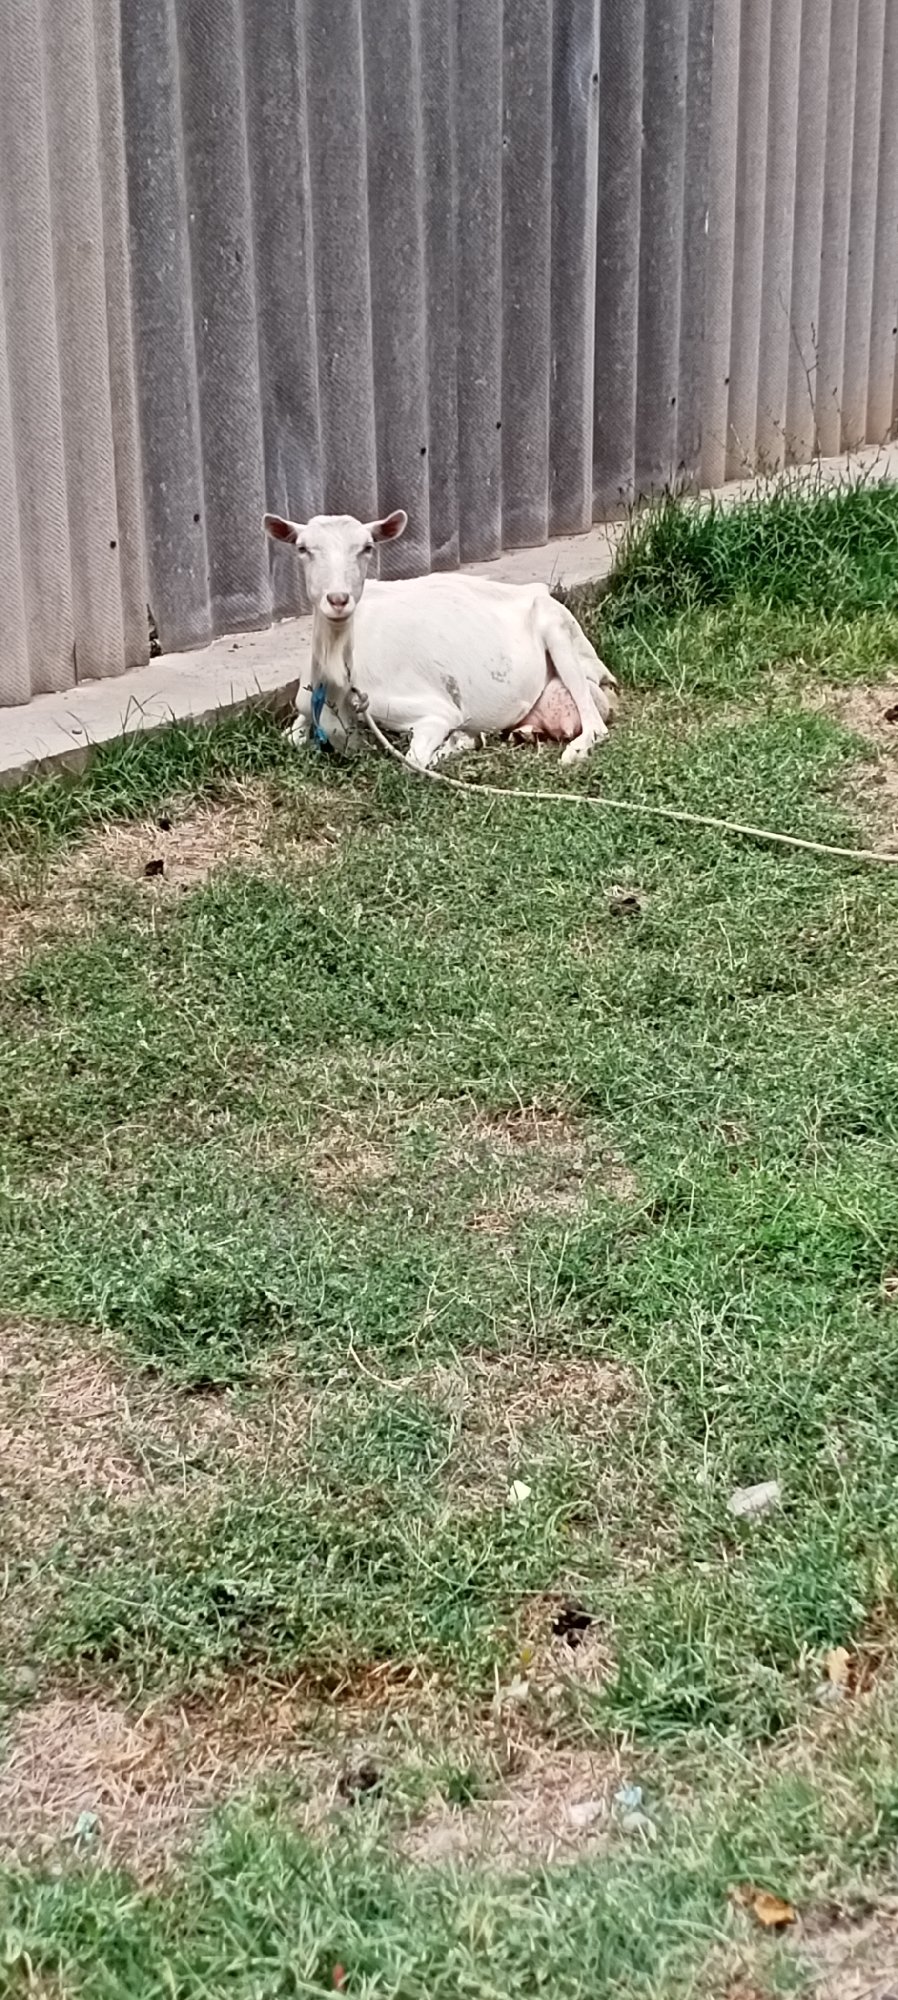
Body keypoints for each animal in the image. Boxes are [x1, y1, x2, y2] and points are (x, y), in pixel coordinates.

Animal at [263, 509, 616, 769]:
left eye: (367, 547)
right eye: (302, 548)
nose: (338, 599)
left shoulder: (434, 710)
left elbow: (415, 761)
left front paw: (462, 740)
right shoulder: (304, 708)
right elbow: (288, 738)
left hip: (558, 631)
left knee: (595, 722)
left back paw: (574, 751)